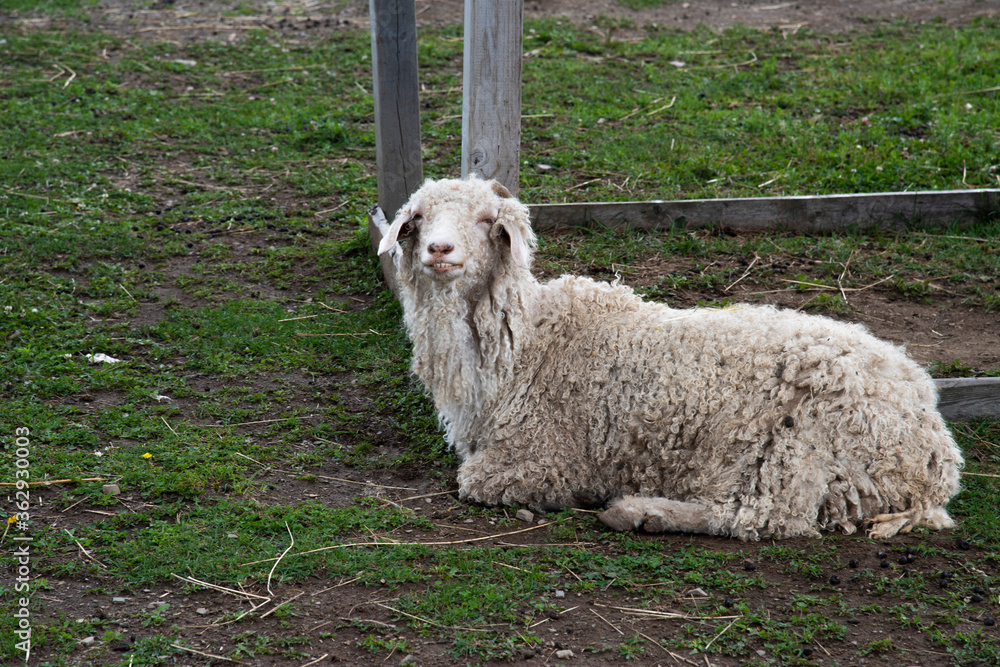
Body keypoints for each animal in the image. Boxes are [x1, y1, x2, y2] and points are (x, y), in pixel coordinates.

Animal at [377, 175, 963, 540]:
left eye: (484, 219)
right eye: (420, 217)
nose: (439, 250)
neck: (527, 344)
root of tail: (935, 450)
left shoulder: (536, 458)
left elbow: (475, 480)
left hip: (798, 445)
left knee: (762, 516)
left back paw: (640, 512)